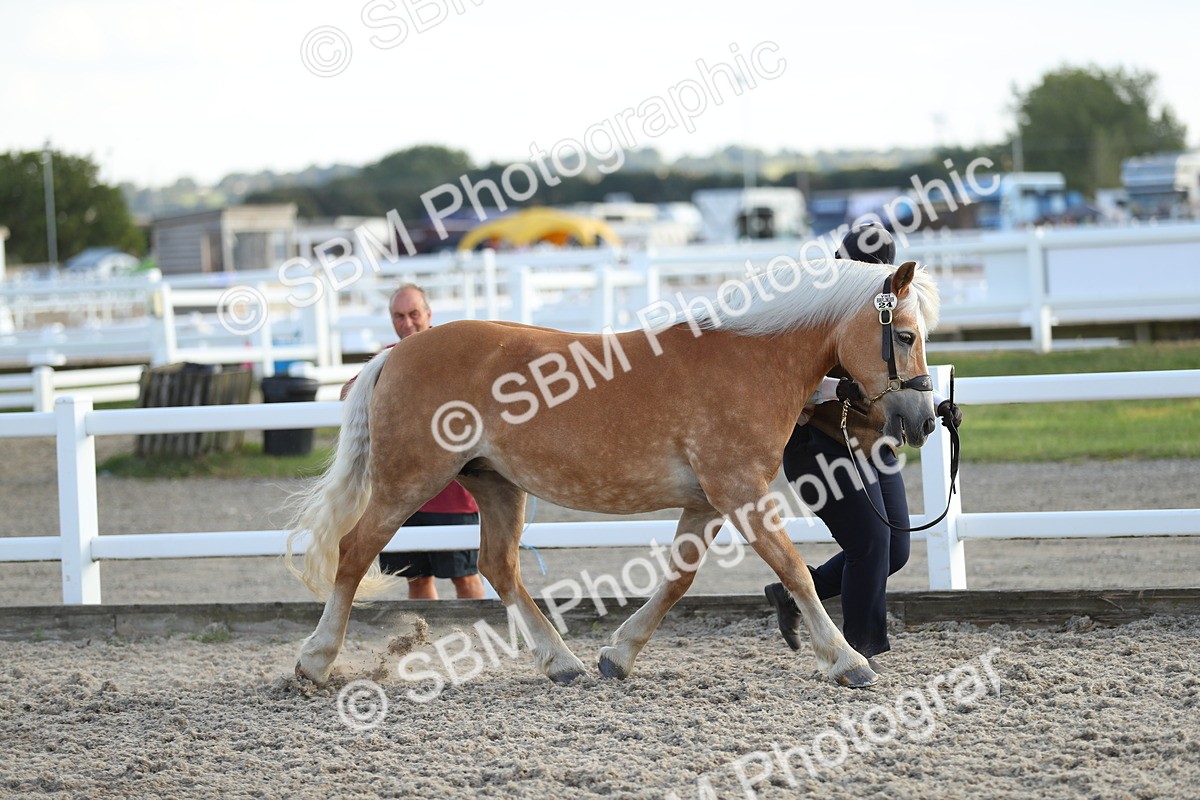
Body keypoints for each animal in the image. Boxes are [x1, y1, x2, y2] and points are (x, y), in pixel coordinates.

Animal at [287, 258, 940, 689]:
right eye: (906, 334)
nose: (923, 420)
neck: (752, 360)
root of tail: (395, 353)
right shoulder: (740, 492)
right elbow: (795, 571)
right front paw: (849, 661)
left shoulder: (707, 503)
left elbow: (678, 580)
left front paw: (619, 655)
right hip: (409, 481)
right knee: (354, 552)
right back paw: (314, 661)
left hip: (494, 485)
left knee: (499, 567)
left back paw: (563, 662)